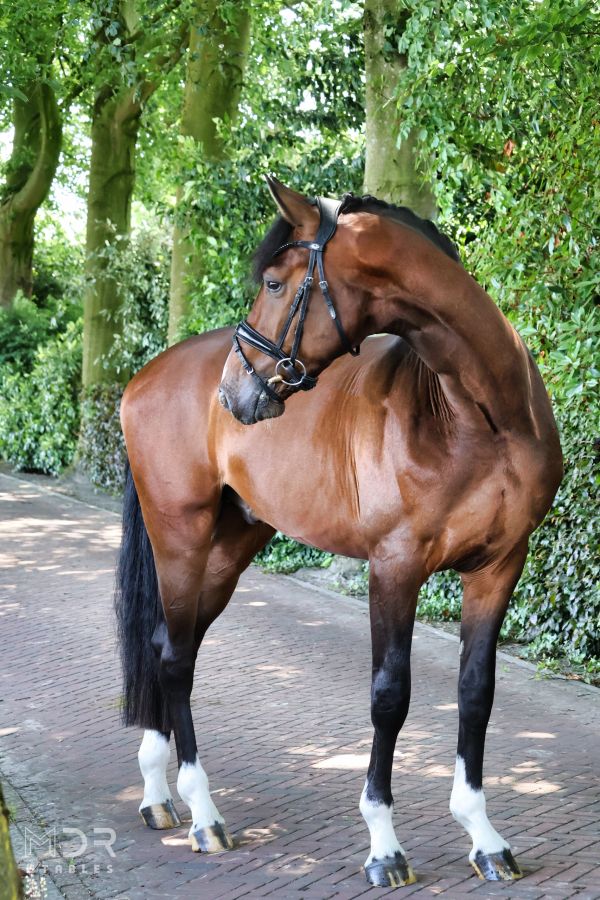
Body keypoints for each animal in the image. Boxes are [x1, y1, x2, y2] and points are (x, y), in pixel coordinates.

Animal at [116, 176, 563, 888]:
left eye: (275, 283)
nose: (234, 395)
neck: (478, 416)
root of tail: (144, 377)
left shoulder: (499, 567)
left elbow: (476, 693)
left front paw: (484, 836)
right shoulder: (394, 567)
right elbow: (389, 697)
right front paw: (384, 845)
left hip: (230, 548)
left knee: (165, 646)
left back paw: (159, 795)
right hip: (180, 538)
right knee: (176, 659)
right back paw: (204, 814)